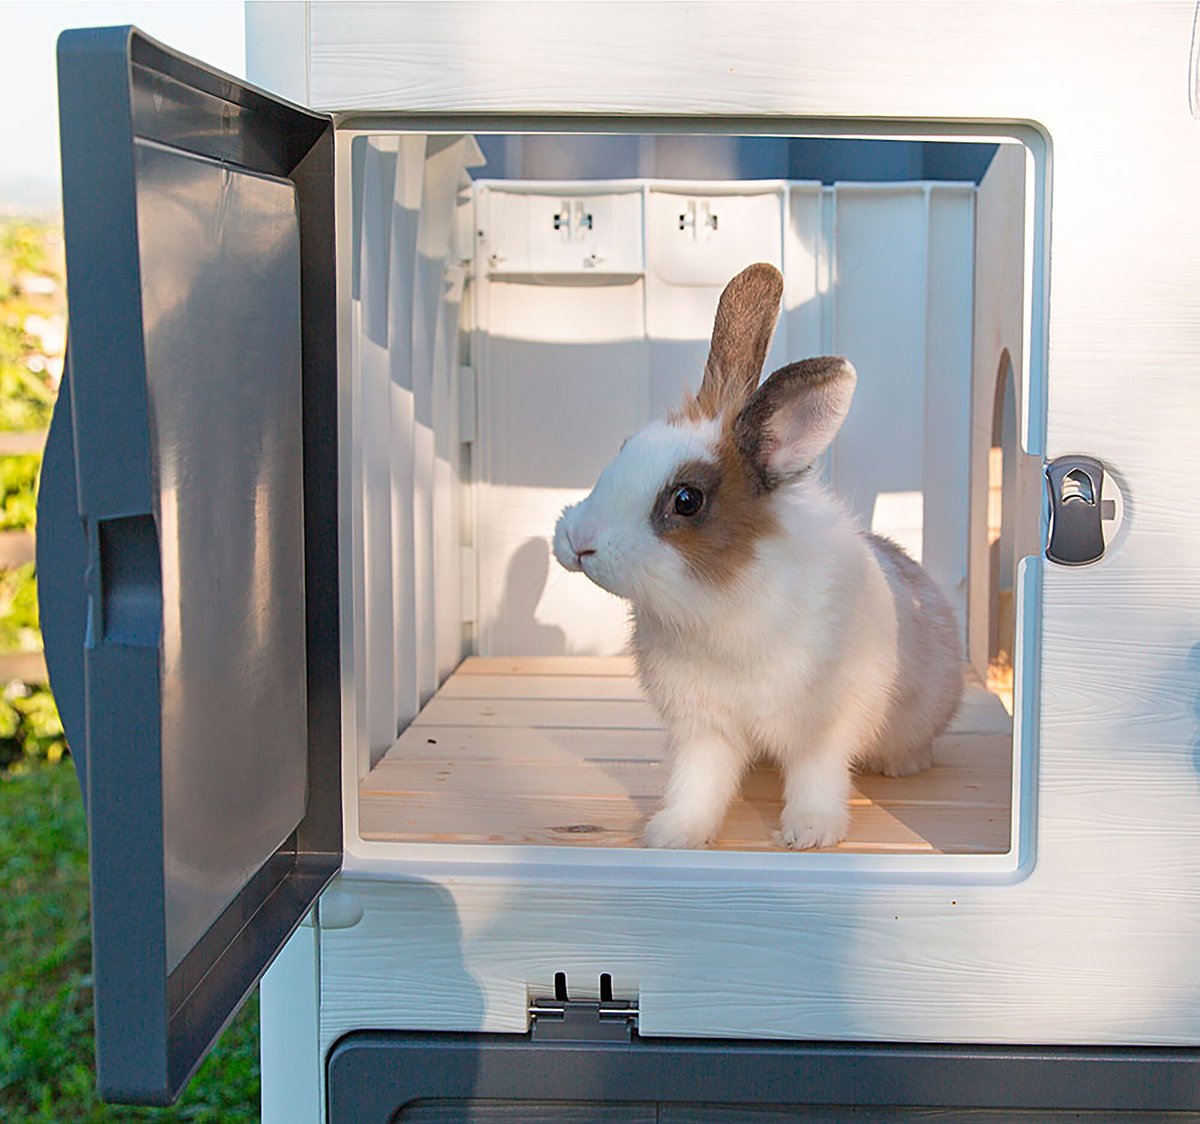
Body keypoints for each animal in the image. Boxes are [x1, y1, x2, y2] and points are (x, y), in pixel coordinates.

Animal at [549, 261, 960, 844]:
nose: (577, 542)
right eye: (625, 447)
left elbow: (817, 777)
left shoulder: (822, 728)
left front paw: (809, 834)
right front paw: (673, 833)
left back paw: (904, 764)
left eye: (686, 500)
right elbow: (697, 785)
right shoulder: (703, 730)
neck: (716, 604)